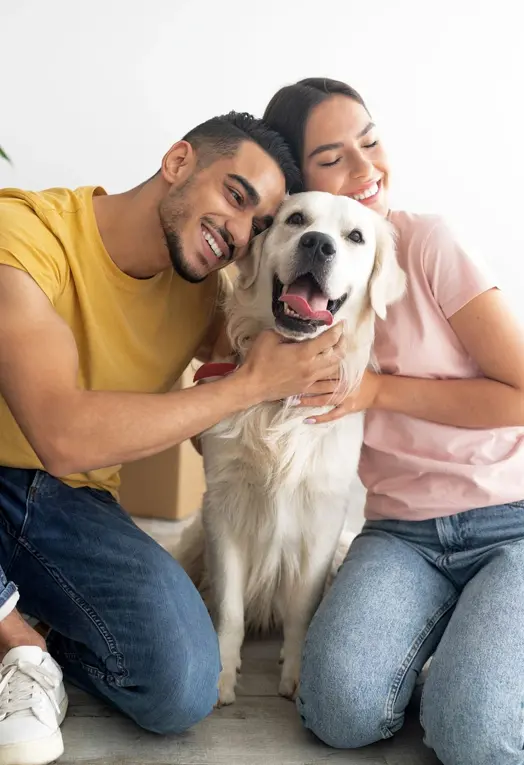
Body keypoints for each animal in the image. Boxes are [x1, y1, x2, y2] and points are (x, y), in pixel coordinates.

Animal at [177, 191, 406, 704]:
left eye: (355, 236)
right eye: (296, 219)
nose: (318, 244)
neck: (281, 403)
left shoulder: (323, 517)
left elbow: (303, 606)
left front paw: (296, 672)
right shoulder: (222, 509)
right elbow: (230, 607)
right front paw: (222, 673)